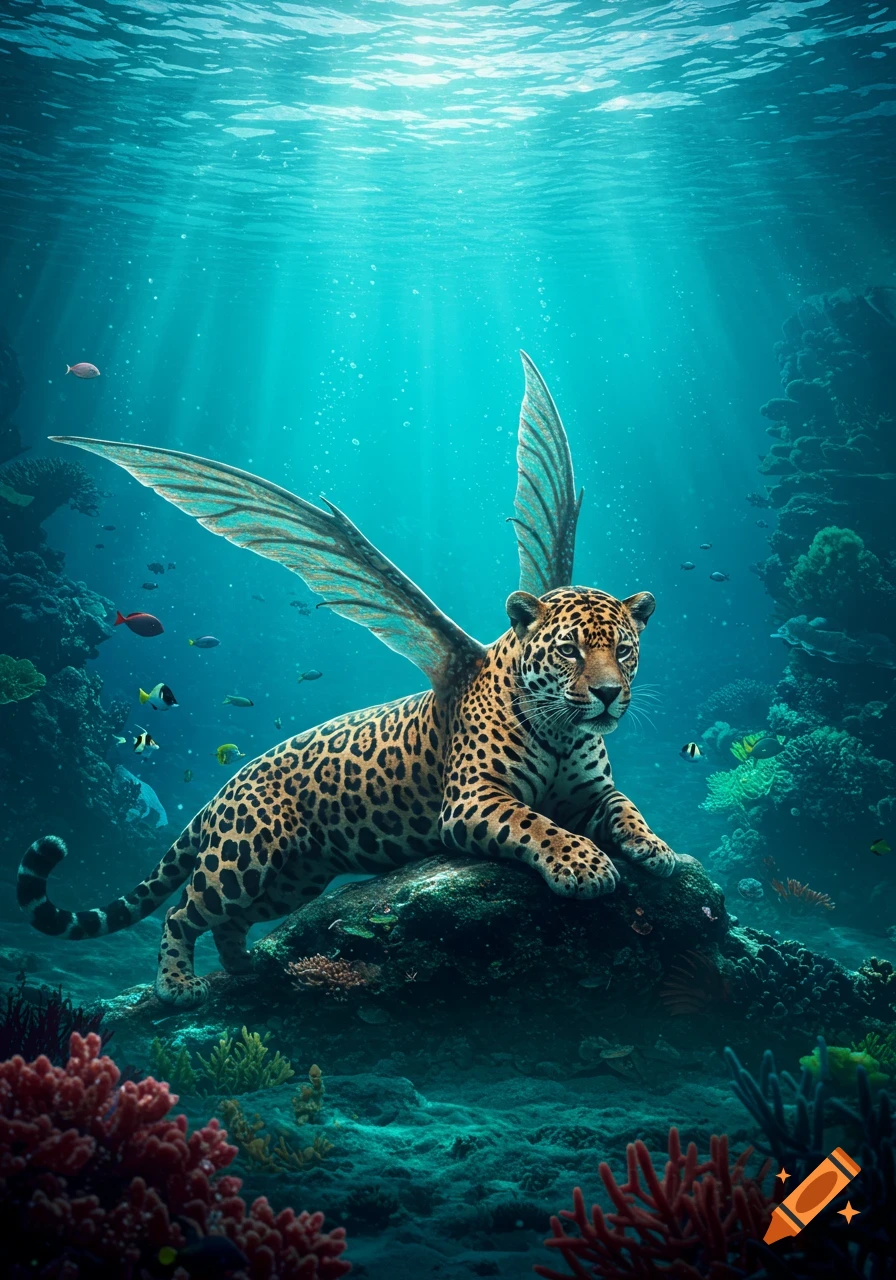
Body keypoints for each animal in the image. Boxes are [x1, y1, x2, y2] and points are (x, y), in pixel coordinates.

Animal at [18, 353, 689, 1007]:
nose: (607, 695)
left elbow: (626, 807)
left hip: (295, 876)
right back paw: (177, 986)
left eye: (625, 652)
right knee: (184, 909)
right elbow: (537, 824)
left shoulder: (593, 794)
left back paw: (250, 971)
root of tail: (219, 792)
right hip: (245, 857)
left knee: (235, 921)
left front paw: (658, 849)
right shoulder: (473, 800)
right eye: (571, 652)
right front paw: (585, 865)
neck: (563, 730)